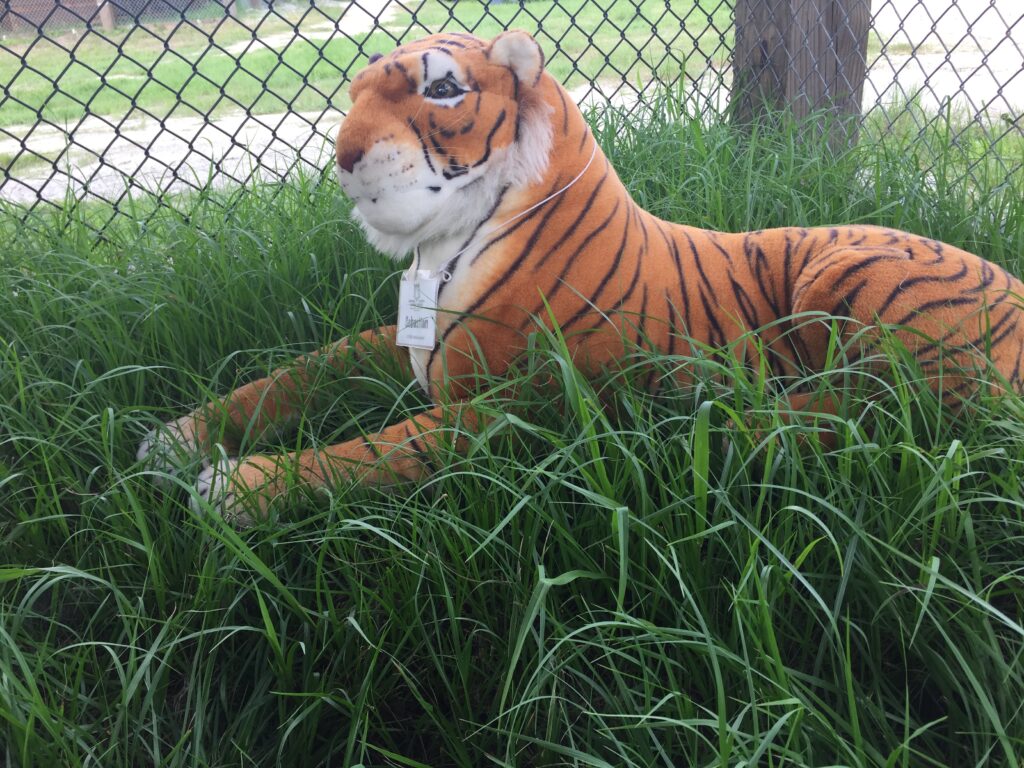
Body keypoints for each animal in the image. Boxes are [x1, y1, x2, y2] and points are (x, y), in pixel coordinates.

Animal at [137, 29, 1024, 525]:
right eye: (355, 90)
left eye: (441, 88)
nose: (344, 156)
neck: (440, 250)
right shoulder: (399, 347)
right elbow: (294, 375)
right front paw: (175, 438)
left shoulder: (514, 408)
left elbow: (370, 451)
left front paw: (235, 489)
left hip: (847, 277)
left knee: (888, 413)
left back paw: (699, 423)